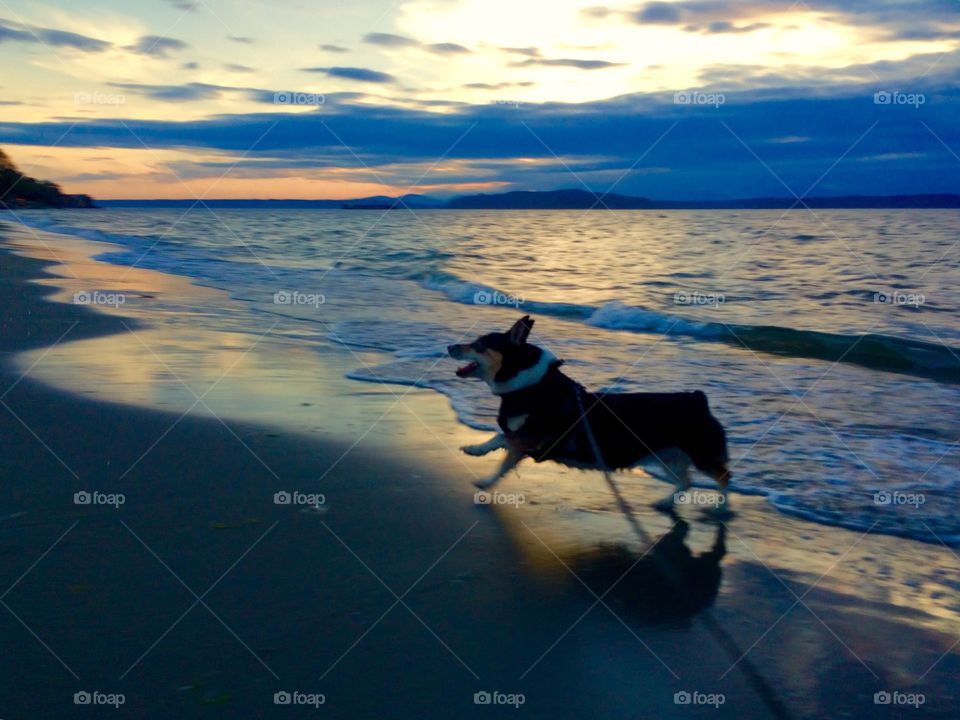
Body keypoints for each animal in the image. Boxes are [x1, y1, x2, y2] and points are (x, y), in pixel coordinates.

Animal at [446, 316, 732, 512]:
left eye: (479, 345)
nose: (449, 346)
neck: (530, 386)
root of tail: (698, 399)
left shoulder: (529, 439)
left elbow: (503, 451)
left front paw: (483, 475)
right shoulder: (522, 439)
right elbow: (499, 443)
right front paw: (477, 456)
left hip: (701, 455)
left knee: (723, 476)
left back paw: (721, 507)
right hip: (669, 456)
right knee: (687, 481)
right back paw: (664, 503)